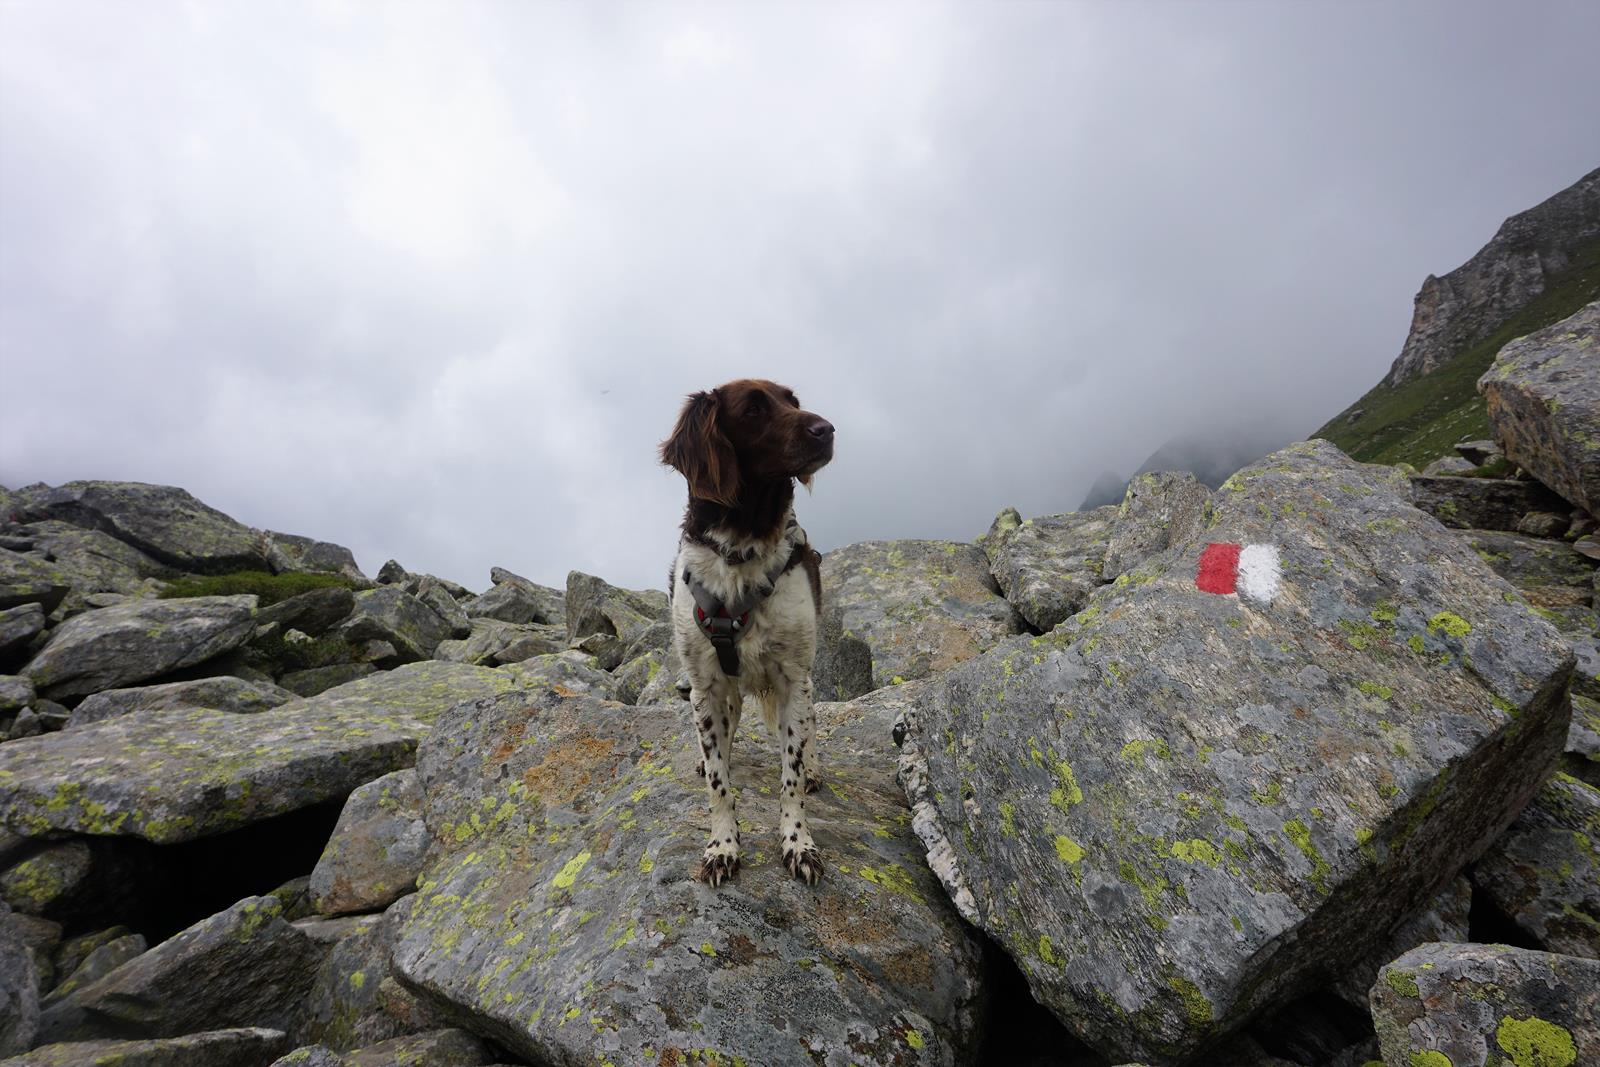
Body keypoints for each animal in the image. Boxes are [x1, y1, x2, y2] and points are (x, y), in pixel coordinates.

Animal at [659, 379, 838, 889]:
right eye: (754, 409)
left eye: (793, 402)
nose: (827, 430)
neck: (743, 547)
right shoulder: (707, 686)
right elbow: (719, 785)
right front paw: (722, 847)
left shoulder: (793, 678)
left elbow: (791, 777)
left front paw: (799, 844)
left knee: (810, 731)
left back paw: (814, 767)